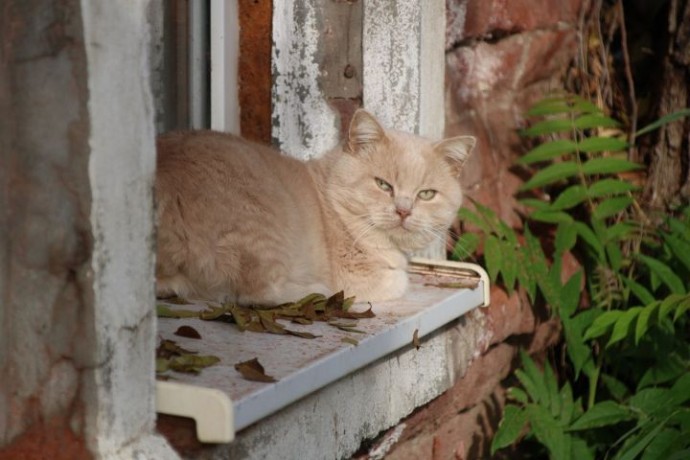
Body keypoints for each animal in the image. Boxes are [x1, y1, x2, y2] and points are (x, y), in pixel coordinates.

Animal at [155, 108, 472, 306]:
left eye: (426, 194)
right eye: (383, 185)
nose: (404, 211)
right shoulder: (361, 278)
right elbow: (400, 281)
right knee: (255, 294)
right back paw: (318, 291)